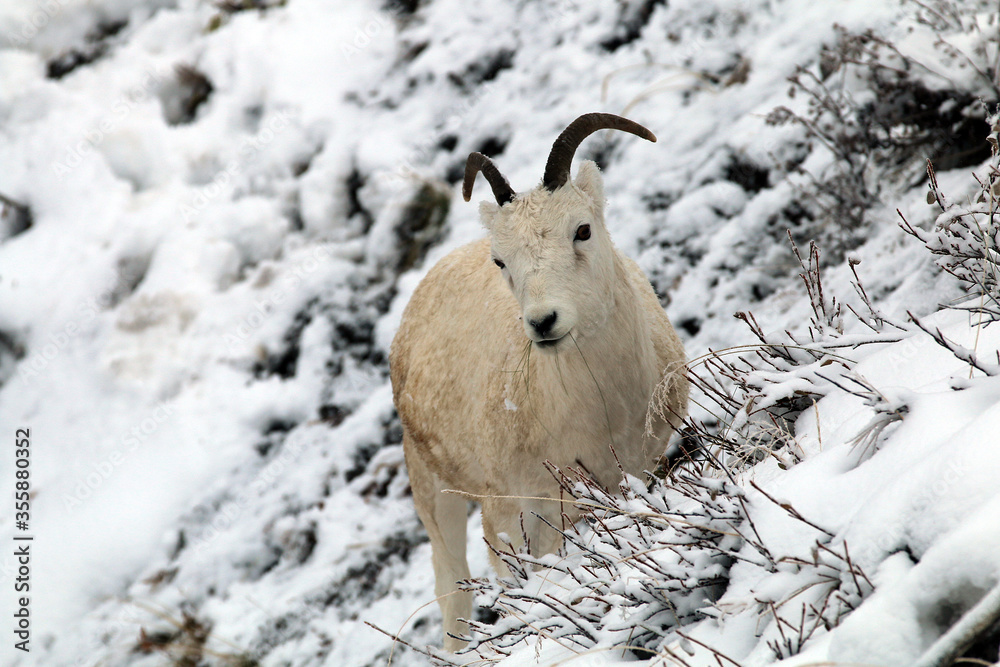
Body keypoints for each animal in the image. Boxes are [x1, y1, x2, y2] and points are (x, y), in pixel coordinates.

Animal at [389, 113, 689, 652]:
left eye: (583, 230)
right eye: (501, 261)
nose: (543, 322)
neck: (601, 411)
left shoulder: (637, 472)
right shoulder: (514, 515)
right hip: (436, 494)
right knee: (453, 592)